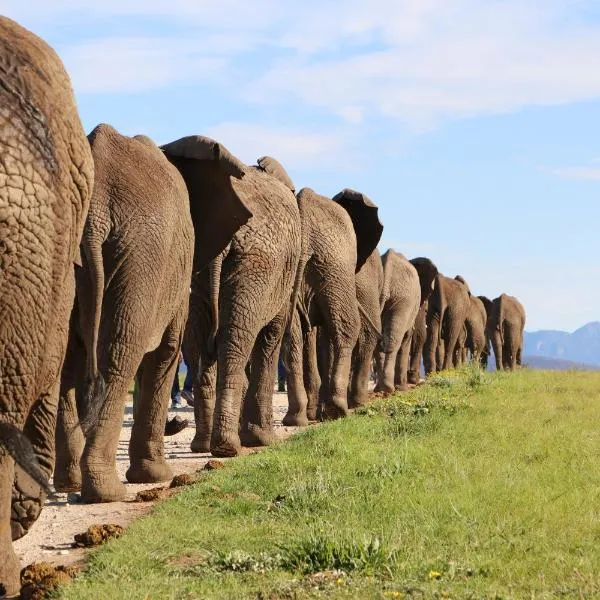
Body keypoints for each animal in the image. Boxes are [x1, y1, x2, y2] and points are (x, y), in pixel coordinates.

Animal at [53, 124, 193, 504]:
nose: (179, 424)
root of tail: (96, 209)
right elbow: (166, 353)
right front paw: (154, 476)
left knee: (65, 361)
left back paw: (70, 484)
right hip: (142, 256)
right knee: (119, 355)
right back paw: (106, 492)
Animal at [162, 143, 302, 458]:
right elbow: (271, 339)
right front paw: (262, 440)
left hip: (200, 268)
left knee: (200, 344)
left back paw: (204, 444)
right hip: (257, 264)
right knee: (235, 341)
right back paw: (228, 446)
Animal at [284, 188, 382, 426]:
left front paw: (315, 414)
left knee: (292, 335)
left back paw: (296, 418)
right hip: (334, 266)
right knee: (348, 328)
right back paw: (338, 409)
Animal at [378, 251, 438, 392]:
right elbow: (410, 335)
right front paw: (404, 387)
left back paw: (379, 388)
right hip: (403, 300)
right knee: (394, 340)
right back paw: (388, 388)